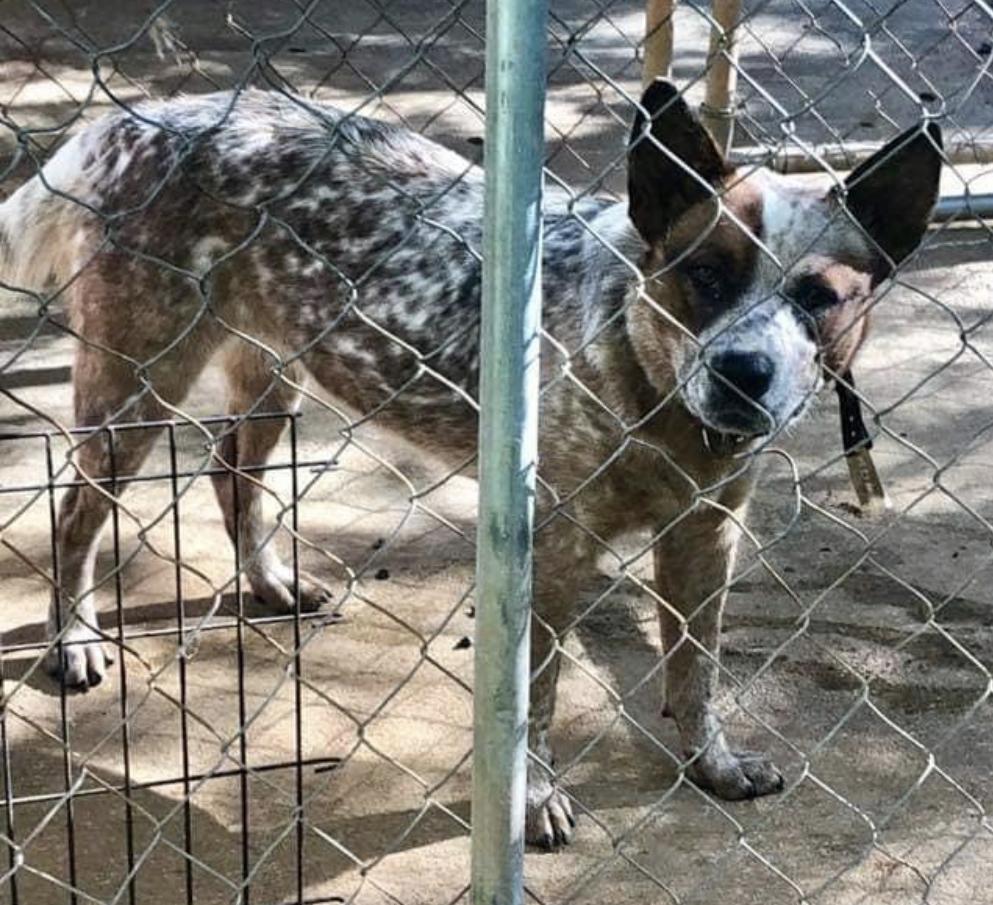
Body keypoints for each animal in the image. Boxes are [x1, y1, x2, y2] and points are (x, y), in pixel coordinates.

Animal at [0, 81, 940, 844]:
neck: (652, 396)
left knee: (231, 471)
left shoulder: (707, 536)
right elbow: (538, 697)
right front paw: (532, 803)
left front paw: (712, 762)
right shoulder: (550, 554)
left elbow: (697, 668)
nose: (744, 372)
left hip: (273, 369)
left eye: (820, 297)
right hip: (136, 385)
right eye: (703, 272)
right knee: (76, 511)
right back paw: (75, 637)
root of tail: (136, 118)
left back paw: (268, 583)